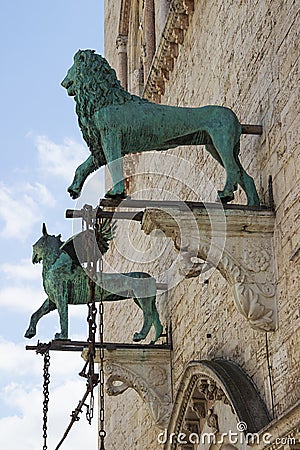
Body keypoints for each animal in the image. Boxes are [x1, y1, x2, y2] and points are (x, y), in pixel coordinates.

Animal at [61, 49, 260, 206]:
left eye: (70, 69)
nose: (62, 82)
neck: (106, 98)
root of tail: (236, 120)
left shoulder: (110, 135)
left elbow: (114, 165)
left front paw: (116, 193)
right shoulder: (102, 142)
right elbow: (84, 166)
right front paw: (74, 189)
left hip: (221, 140)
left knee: (232, 169)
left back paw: (226, 194)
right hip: (213, 146)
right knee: (245, 175)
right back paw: (252, 204)